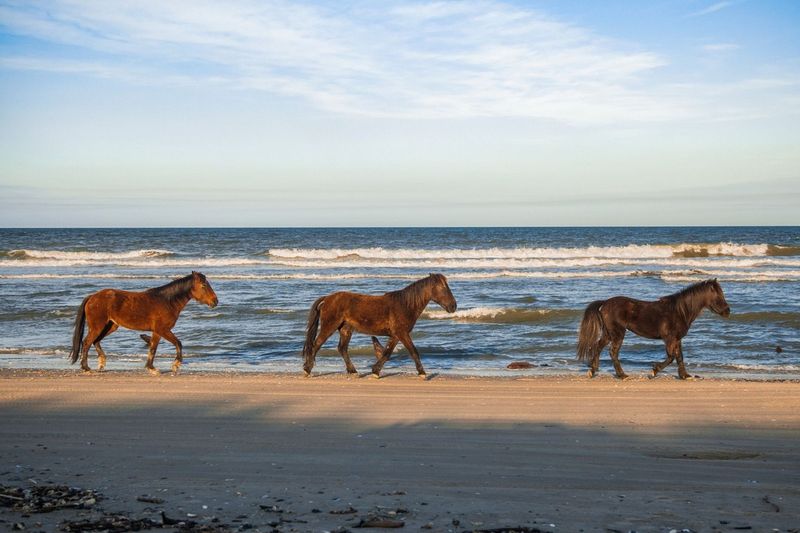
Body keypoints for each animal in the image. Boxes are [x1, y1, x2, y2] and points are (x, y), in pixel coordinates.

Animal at [69, 271, 218, 374]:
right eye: (204, 285)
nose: (215, 301)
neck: (167, 301)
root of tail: (92, 297)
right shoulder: (162, 330)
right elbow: (176, 343)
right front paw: (174, 365)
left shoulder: (157, 332)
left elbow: (152, 348)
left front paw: (150, 368)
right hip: (98, 326)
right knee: (87, 342)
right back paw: (86, 368)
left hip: (110, 326)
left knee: (95, 341)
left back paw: (101, 363)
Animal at [302, 273, 457, 379]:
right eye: (442, 287)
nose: (453, 306)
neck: (404, 305)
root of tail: (328, 298)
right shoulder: (402, 333)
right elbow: (413, 351)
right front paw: (422, 373)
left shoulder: (396, 335)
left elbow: (386, 353)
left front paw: (375, 371)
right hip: (329, 326)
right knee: (316, 345)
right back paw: (307, 370)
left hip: (346, 330)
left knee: (342, 349)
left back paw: (353, 371)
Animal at [576, 279, 730, 380]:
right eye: (718, 296)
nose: (728, 311)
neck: (679, 311)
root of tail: (604, 303)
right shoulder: (669, 339)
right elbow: (671, 357)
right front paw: (654, 371)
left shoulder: (677, 339)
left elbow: (679, 356)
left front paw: (684, 375)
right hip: (618, 333)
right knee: (613, 352)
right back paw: (622, 375)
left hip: (609, 333)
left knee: (598, 347)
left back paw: (593, 371)